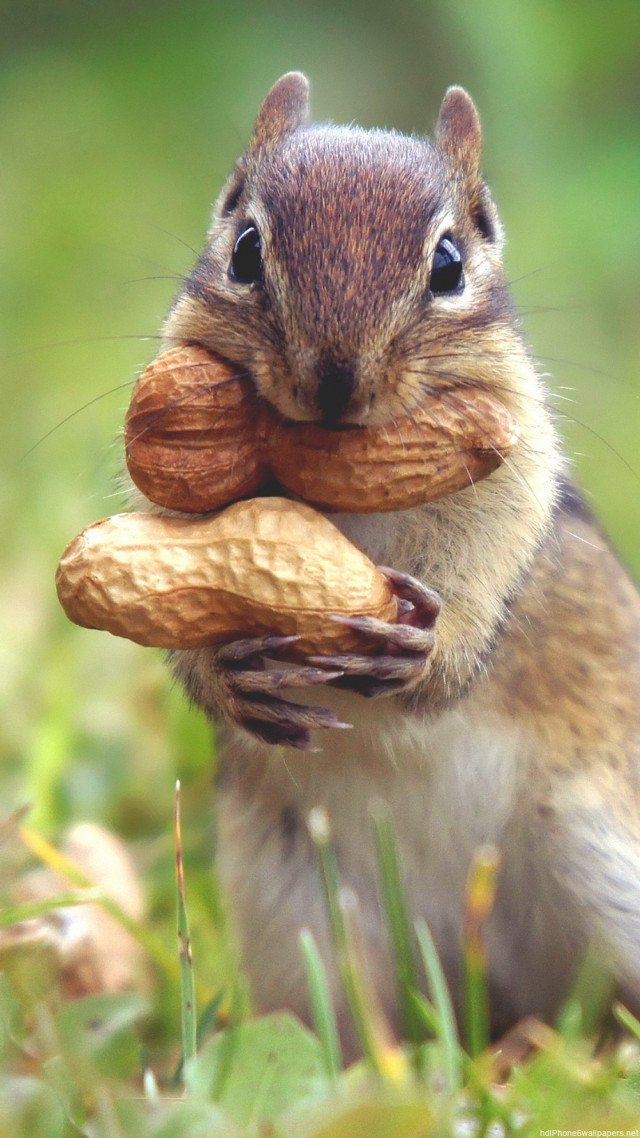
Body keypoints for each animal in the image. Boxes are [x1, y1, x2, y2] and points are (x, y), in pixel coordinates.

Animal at [151, 72, 640, 1047]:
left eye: (449, 265)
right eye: (245, 249)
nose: (336, 382)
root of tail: (479, 990)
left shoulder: (514, 473)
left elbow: (484, 576)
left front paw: (428, 652)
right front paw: (226, 675)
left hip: (608, 867)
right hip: (299, 915)